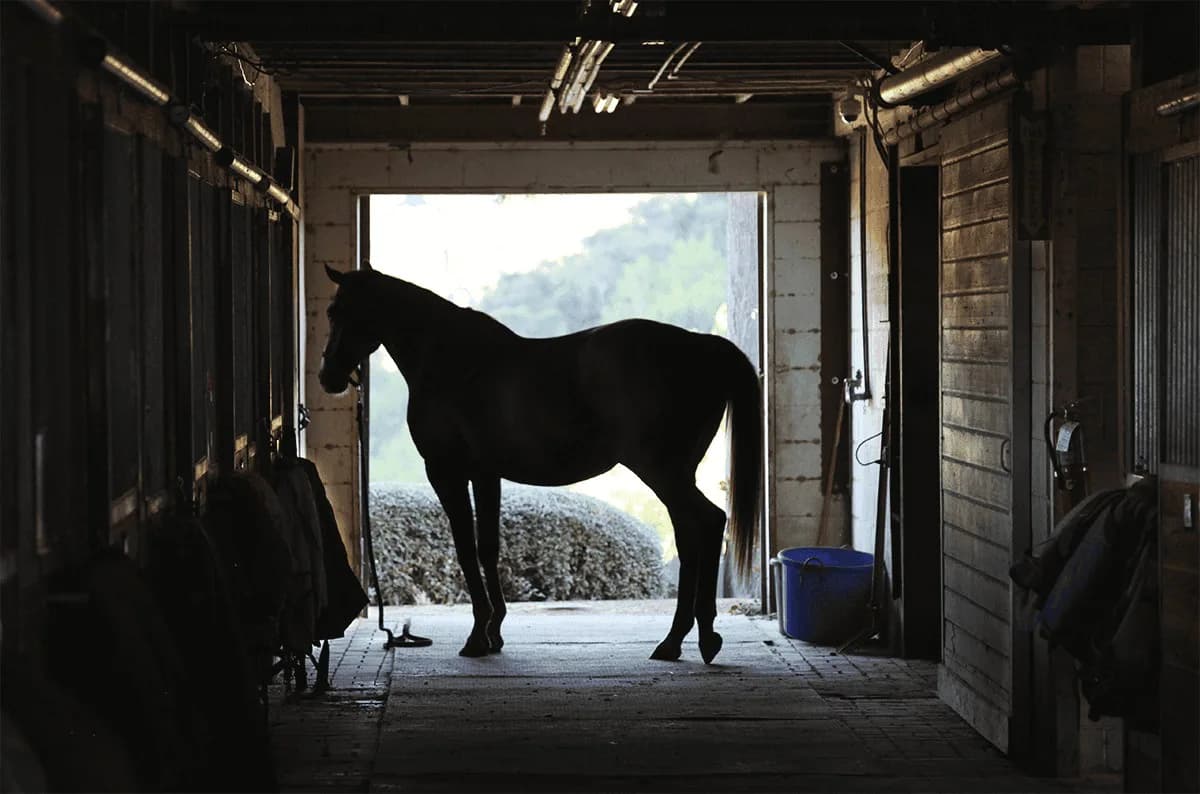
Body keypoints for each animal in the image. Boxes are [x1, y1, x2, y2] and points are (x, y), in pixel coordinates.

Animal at [318, 263, 761, 664]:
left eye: (338, 311)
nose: (327, 376)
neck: (451, 359)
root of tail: (702, 346)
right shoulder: (485, 474)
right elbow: (487, 548)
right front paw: (494, 632)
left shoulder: (446, 472)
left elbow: (465, 550)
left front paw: (477, 637)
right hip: (677, 473)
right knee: (693, 534)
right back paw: (683, 640)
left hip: (662, 471)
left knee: (708, 523)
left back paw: (696, 639)